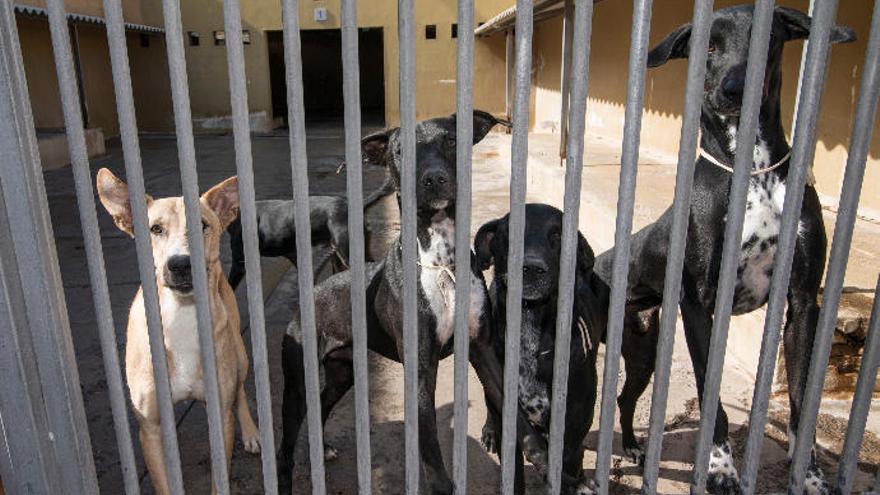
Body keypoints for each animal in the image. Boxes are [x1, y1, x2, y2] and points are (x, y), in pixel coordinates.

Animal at [98, 169, 262, 494]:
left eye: (203, 225)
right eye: (155, 229)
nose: (181, 264)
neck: (182, 316)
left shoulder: (220, 417)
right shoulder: (150, 428)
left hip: (240, 357)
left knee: (239, 391)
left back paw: (250, 431)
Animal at [276, 110, 556, 494]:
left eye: (452, 140)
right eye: (399, 150)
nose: (434, 178)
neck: (441, 261)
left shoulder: (482, 349)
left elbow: (517, 420)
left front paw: (545, 460)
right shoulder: (421, 366)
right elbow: (430, 446)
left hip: (341, 372)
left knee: (321, 406)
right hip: (296, 381)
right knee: (284, 445)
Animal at [596, 4, 856, 495]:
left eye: (767, 38)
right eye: (710, 48)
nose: (735, 89)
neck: (752, 169)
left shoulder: (802, 305)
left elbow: (800, 405)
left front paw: (810, 477)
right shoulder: (698, 306)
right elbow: (711, 399)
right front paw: (720, 469)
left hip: (642, 353)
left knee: (623, 396)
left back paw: (635, 448)